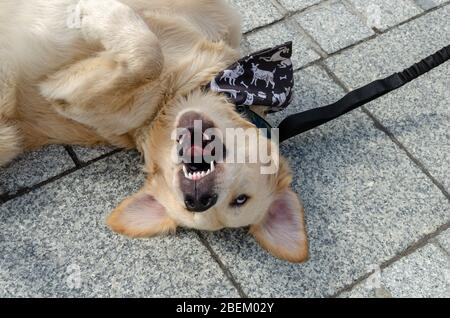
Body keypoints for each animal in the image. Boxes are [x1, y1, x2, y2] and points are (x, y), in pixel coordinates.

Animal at [0, 0, 308, 262]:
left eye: (240, 200)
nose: (197, 200)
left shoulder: (78, 93)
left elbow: (147, 56)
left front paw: (95, 12)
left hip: (9, 138)